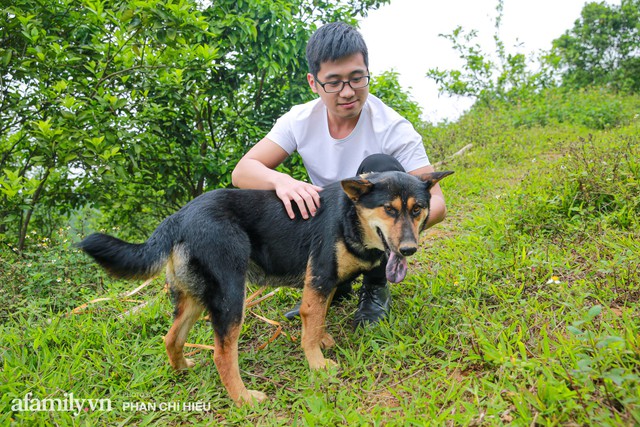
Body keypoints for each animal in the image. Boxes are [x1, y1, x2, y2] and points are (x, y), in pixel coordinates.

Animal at [77, 170, 452, 404]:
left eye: (417, 210)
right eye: (388, 209)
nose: (408, 250)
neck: (351, 215)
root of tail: (177, 217)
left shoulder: (323, 283)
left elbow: (317, 318)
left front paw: (323, 340)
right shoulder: (320, 277)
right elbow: (311, 323)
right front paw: (318, 365)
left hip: (195, 296)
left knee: (171, 337)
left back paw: (183, 370)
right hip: (231, 294)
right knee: (221, 353)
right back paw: (244, 399)